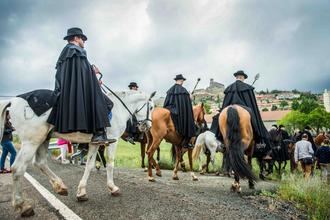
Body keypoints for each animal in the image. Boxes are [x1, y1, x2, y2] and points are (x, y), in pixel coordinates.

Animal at [0, 90, 156, 217]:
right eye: (151, 107)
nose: (148, 126)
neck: (118, 108)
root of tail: (14, 100)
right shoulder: (113, 141)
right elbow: (110, 164)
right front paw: (113, 188)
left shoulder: (95, 143)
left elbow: (89, 165)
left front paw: (81, 192)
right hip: (32, 141)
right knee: (18, 169)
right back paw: (23, 206)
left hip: (44, 138)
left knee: (40, 163)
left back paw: (60, 187)